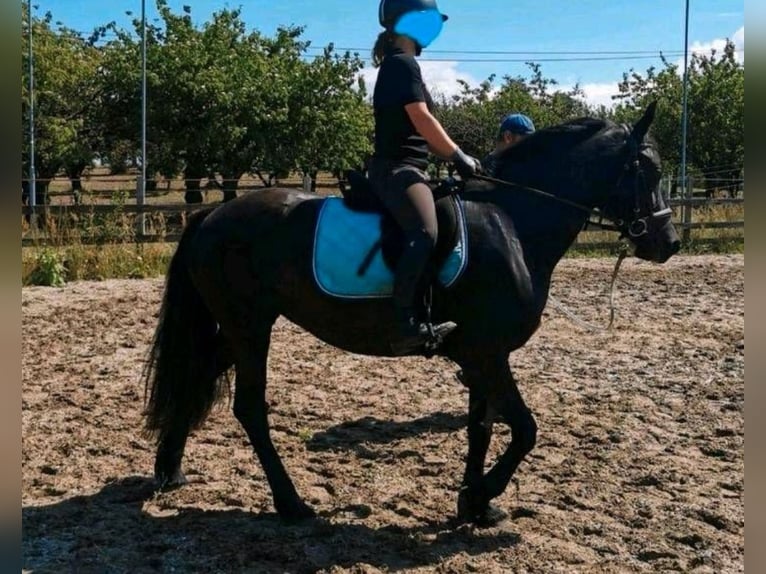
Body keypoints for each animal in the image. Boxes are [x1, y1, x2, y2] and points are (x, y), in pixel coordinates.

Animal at [142, 103, 680, 528]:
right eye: (648, 173)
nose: (668, 243)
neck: (512, 224)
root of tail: (212, 216)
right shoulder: (488, 353)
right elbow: (525, 429)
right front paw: (480, 494)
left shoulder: (482, 356)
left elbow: (482, 428)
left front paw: (474, 506)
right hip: (250, 328)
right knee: (249, 408)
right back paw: (290, 504)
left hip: (238, 330)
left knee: (196, 377)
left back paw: (169, 470)